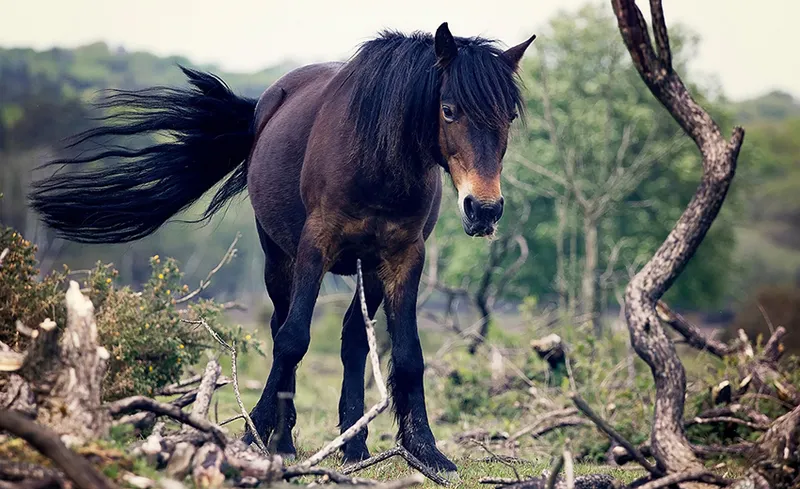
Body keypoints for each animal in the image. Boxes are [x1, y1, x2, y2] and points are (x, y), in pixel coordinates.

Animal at [29, 23, 535, 473]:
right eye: (448, 110)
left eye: (508, 117)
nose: (483, 209)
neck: (377, 160)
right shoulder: (315, 247)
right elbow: (293, 339)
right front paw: (254, 432)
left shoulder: (404, 256)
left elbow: (409, 353)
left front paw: (426, 450)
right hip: (279, 257)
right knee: (281, 327)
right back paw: (284, 439)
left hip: (366, 269)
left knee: (353, 340)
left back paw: (354, 445)